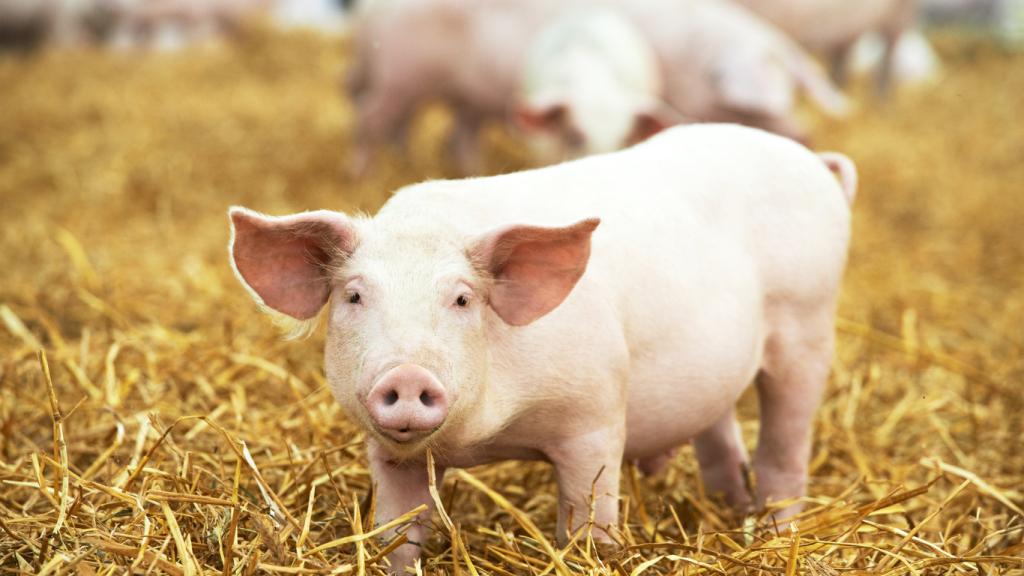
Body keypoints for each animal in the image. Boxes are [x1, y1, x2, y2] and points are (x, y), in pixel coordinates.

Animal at [230, 123, 857, 572]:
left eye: (462, 299)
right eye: (355, 295)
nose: (408, 375)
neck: (484, 439)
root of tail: (814, 163)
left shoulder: (595, 417)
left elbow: (588, 522)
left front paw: (593, 554)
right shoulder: (389, 455)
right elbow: (398, 534)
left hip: (809, 326)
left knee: (784, 448)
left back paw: (776, 532)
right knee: (721, 437)